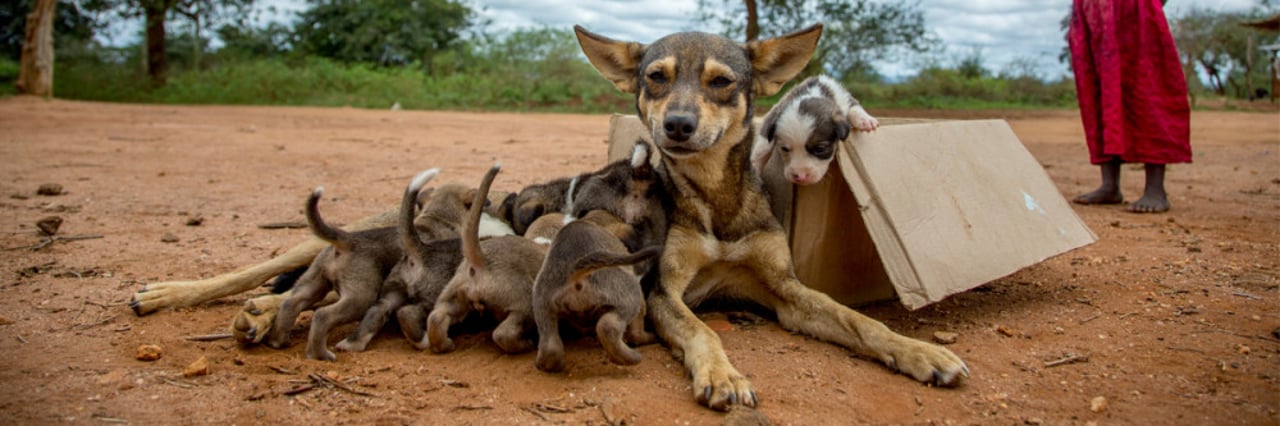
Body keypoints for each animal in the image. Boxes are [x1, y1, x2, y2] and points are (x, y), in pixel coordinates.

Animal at [259, 184, 399, 360]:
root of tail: (348, 239)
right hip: (360, 297)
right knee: (322, 315)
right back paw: (320, 355)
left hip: (314, 283)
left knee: (290, 304)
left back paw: (278, 341)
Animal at [427, 163, 547, 353]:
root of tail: (480, 260)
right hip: (524, 302)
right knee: (503, 334)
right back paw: (525, 345)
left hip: (454, 296)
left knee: (437, 317)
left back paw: (443, 345)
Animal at [535, 208, 665, 370]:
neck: (593, 221)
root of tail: (575, 273)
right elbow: (637, 329)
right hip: (630, 294)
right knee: (608, 327)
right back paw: (630, 356)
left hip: (543, 306)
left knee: (550, 345)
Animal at [747, 74, 880, 184]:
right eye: (784, 148)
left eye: (820, 149)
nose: (800, 176)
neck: (815, 93)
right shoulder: (773, 113)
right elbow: (763, 146)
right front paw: (754, 167)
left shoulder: (846, 99)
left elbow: (855, 107)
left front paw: (865, 120)